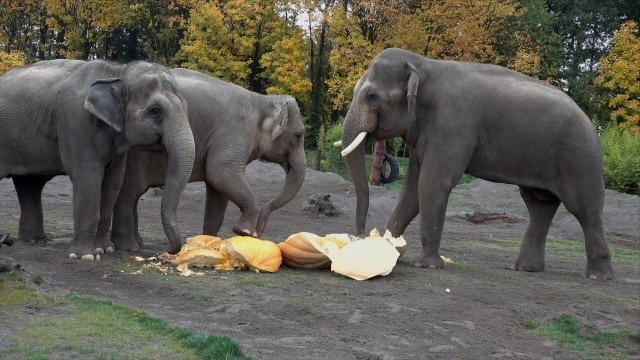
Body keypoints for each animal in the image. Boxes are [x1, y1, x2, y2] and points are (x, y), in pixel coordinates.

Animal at [0, 60, 195, 260]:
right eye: (155, 110)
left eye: (186, 107)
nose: (168, 252)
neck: (117, 72)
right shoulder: (77, 123)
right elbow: (89, 178)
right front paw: (84, 256)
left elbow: (113, 182)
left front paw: (104, 249)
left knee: (29, 184)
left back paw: (34, 241)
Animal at [108, 69, 308, 252]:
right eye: (298, 136)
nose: (258, 233)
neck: (262, 101)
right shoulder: (235, 135)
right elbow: (220, 172)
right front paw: (242, 231)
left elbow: (217, 190)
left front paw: (210, 241)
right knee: (129, 193)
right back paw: (129, 247)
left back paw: (137, 243)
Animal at [340, 47, 616, 280]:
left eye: (372, 96)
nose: (361, 232)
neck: (424, 64)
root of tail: (592, 123)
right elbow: (412, 190)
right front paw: (390, 250)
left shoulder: (453, 124)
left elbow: (433, 183)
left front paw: (426, 265)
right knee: (539, 205)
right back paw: (525, 268)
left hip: (580, 159)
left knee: (584, 209)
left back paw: (598, 276)